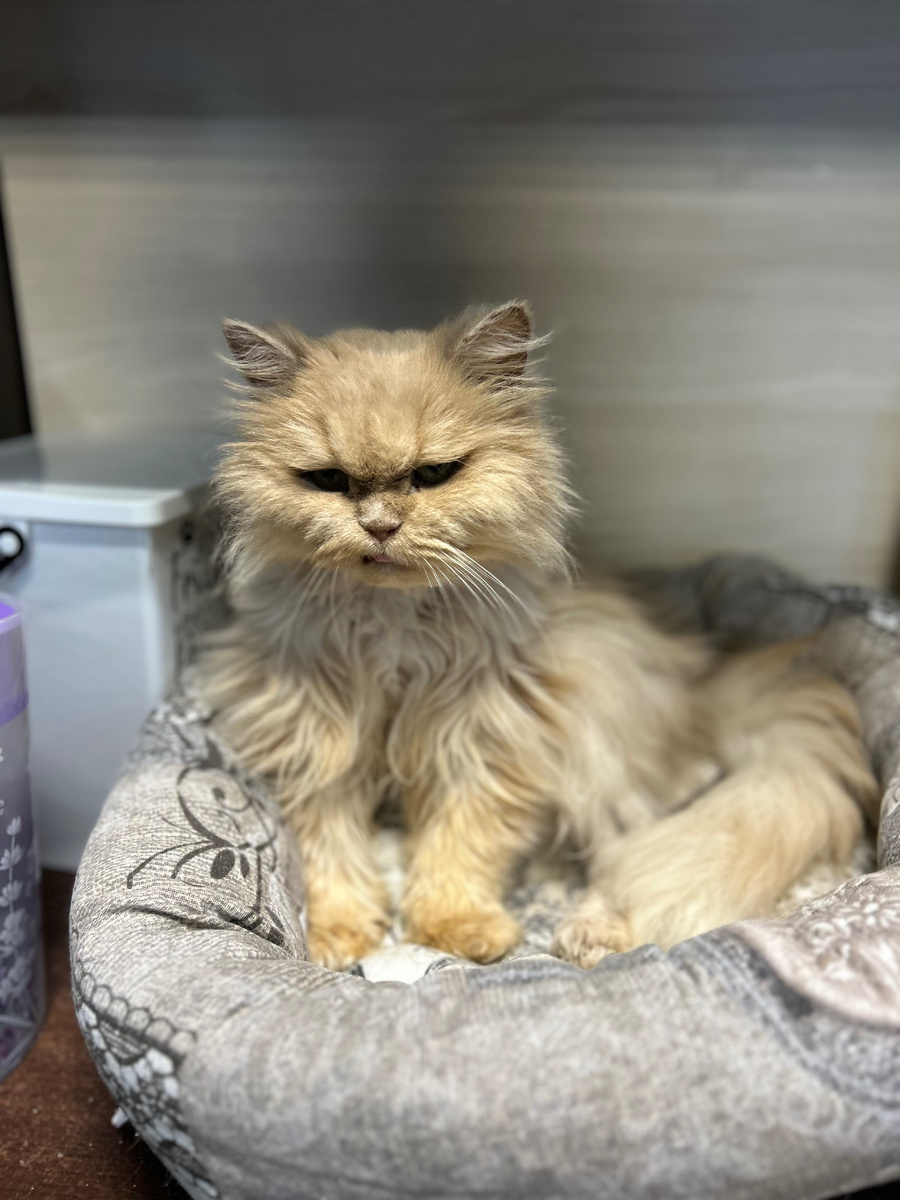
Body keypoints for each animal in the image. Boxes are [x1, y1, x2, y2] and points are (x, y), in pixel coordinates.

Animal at [200, 301, 878, 971]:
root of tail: (702, 686)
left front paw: (455, 929)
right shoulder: (319, 735)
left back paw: (589, 936)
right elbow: (334, 853)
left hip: (597, 752)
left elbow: (460, 844)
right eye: (329, 481)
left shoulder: (484, 737)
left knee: (633, 855)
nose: (380, 527)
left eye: (434, 473)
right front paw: (342, 939)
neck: (395, 626)